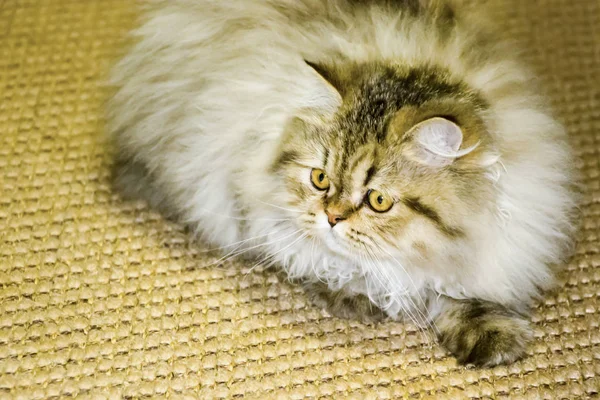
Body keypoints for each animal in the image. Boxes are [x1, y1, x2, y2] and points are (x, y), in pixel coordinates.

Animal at [106, 0, 576, 368]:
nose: (331, 217)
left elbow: (463, 291)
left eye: (379, 200)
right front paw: (356, 296)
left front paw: (491, 334)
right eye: (320, 179)